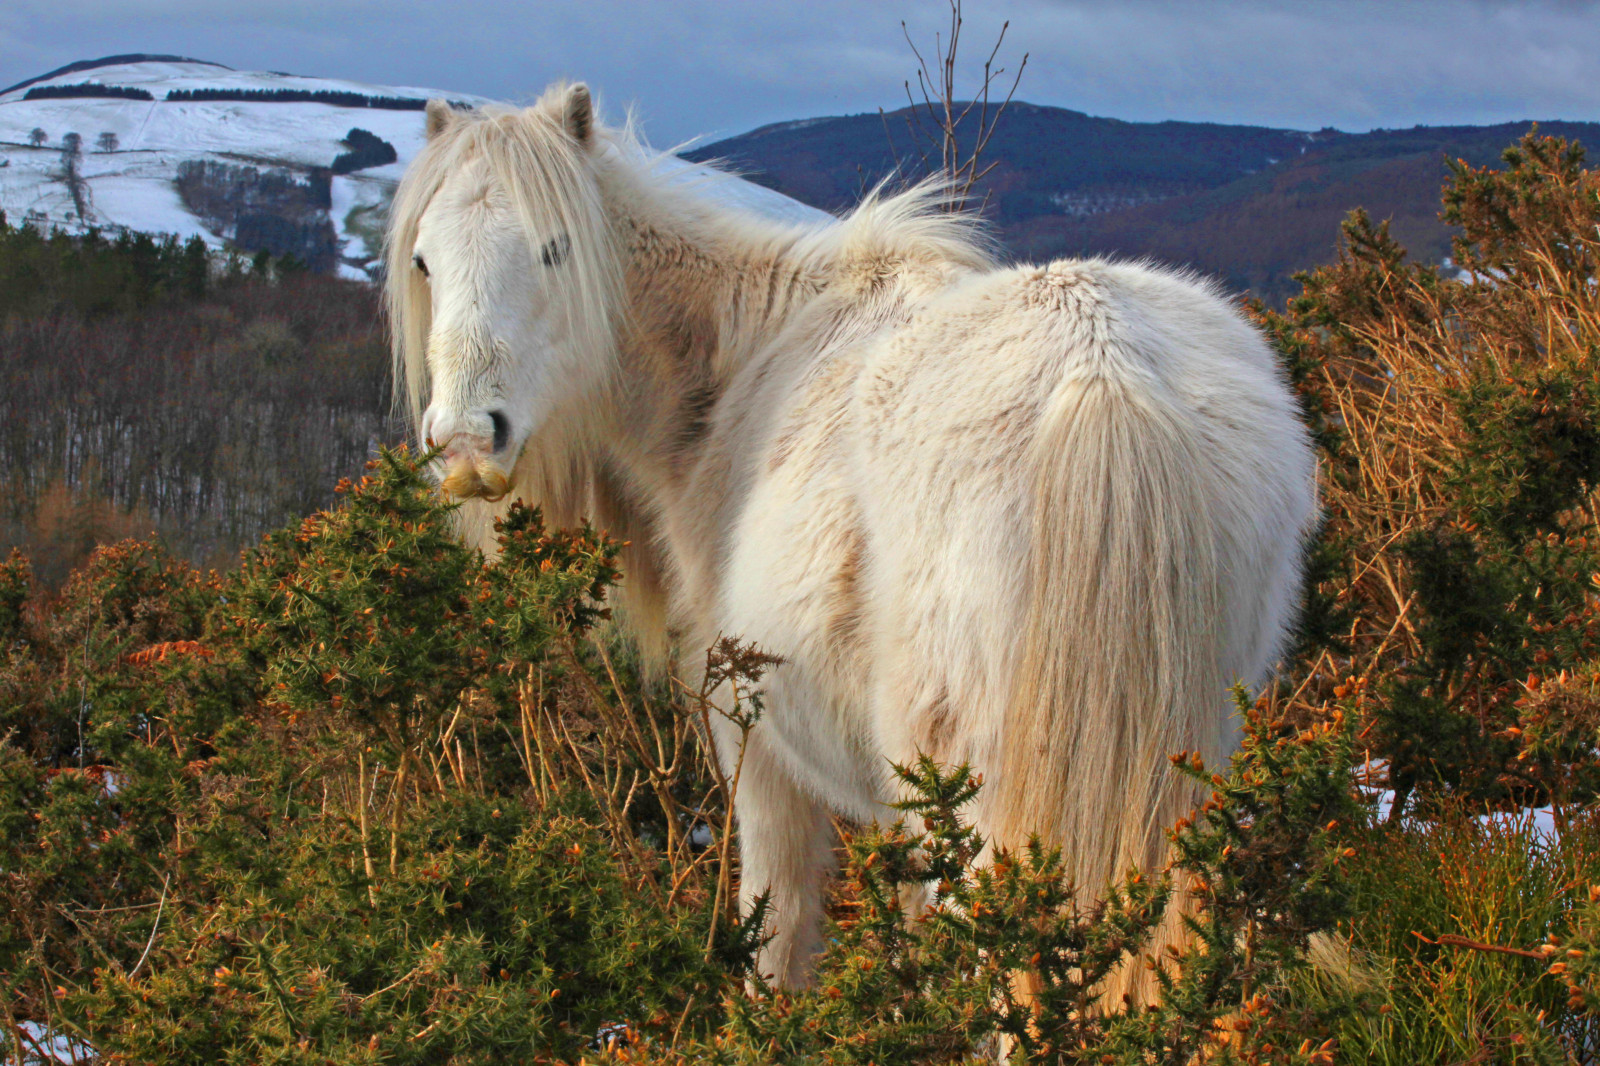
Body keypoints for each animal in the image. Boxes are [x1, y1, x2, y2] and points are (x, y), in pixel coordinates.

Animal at [385, 82, 1318, 1000]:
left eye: (556, 251)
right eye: (425, 261)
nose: (466, 443)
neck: (740, 361)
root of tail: (1103, 371)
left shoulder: (754, 744)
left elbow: (777, 930)